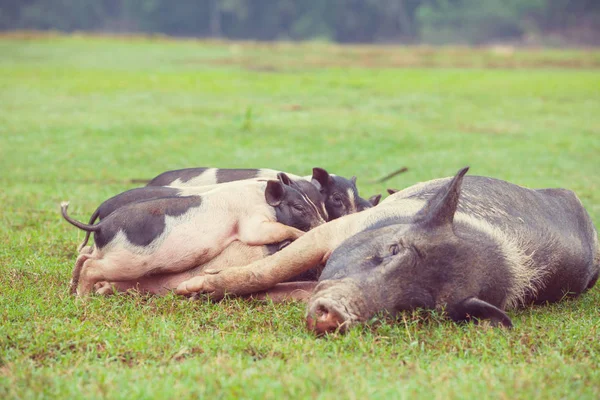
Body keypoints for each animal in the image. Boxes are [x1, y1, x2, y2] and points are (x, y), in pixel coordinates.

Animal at [59, 179, 328, 296]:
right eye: (299, 207)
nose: (324, 224)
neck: (260, 198)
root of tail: (102, 225)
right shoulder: (251, 223)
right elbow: (273, 231)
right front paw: (302, 233)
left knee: (84, 257)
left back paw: (71, 289)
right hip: (125, 262)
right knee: (91, 267)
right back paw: (82, 300)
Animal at [176, 167, 596, 332]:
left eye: (417, 307)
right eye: (393, 249)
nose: (337, 314)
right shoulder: (338, 230)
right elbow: (270, 269)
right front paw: (191, 289)